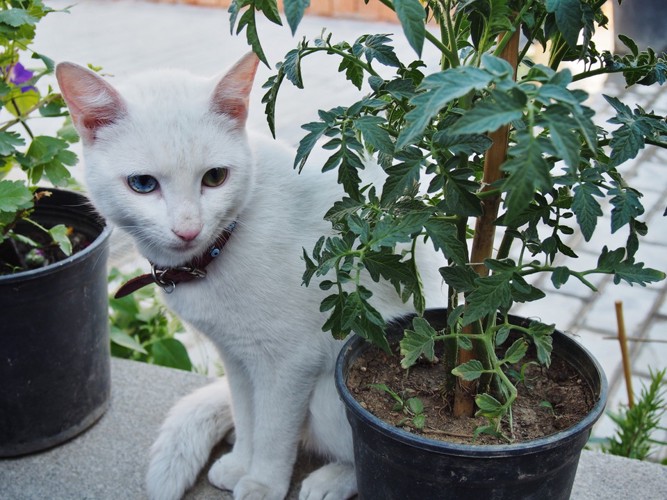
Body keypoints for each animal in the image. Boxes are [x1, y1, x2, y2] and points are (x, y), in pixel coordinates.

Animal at [56, 53, 444, 500]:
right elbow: (246, 415)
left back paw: (330, 481)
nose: (188, 229)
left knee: (351, 453)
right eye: (142, 184)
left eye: (215, 178)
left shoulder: (290, 362)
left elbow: (273, 431)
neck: (213, 255)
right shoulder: (236, 356)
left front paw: (262, 481)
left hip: (328, 396)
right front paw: (242, 461)